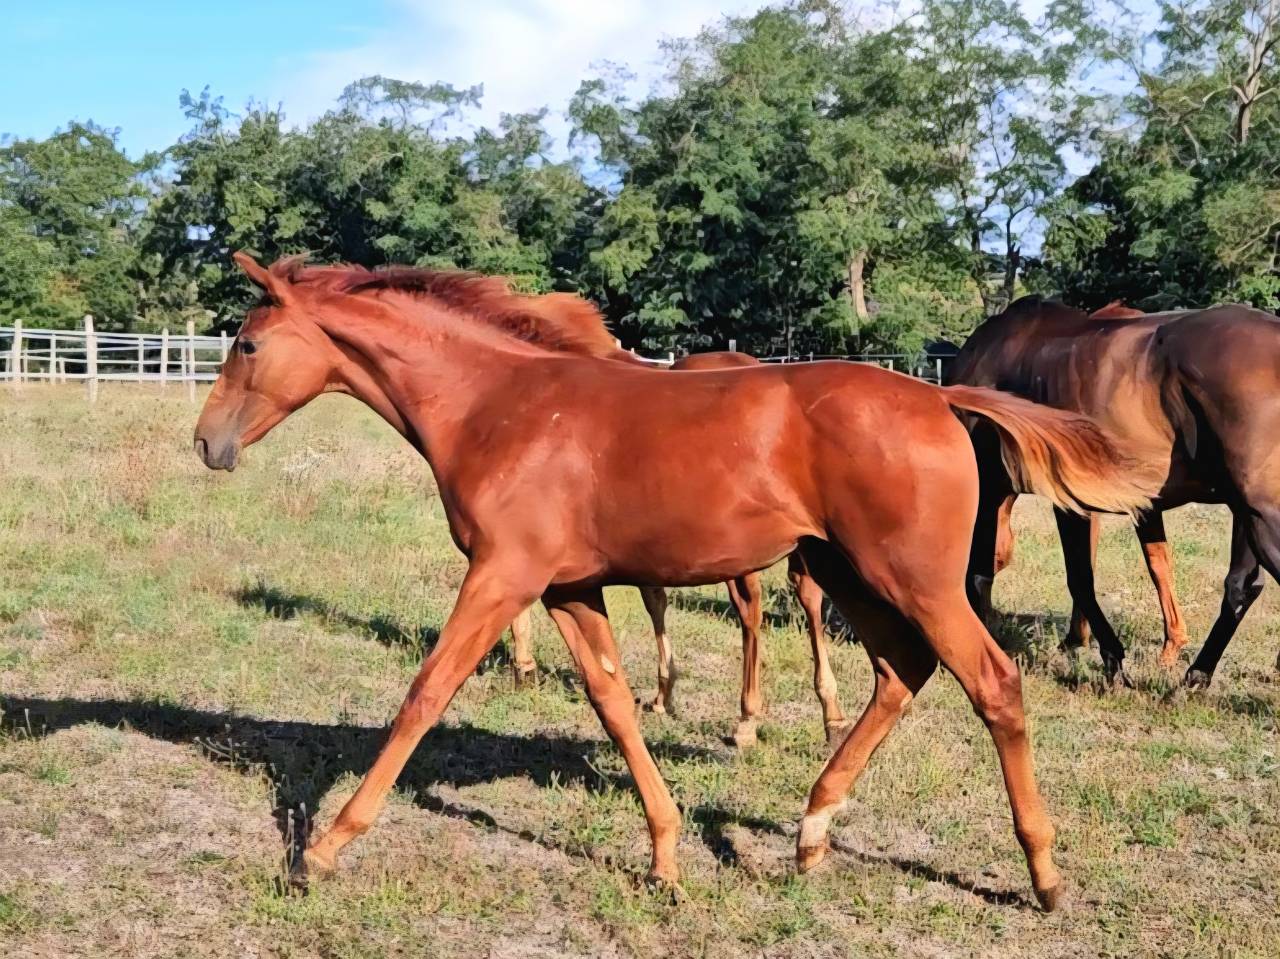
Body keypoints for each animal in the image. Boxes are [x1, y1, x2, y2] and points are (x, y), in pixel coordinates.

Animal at [507, 349, 850, 749]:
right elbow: (655, 600)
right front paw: (664, 691)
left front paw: (524, 665)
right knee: (806, 596)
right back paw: (831, 715)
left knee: (753, 609)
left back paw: (749, 719)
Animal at [951, 296, 1280, 687]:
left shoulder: (1033, 495)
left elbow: (1068, 576)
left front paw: (1111, 658)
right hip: (1247, 513)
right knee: (1241, 586)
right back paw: (1197, 675)